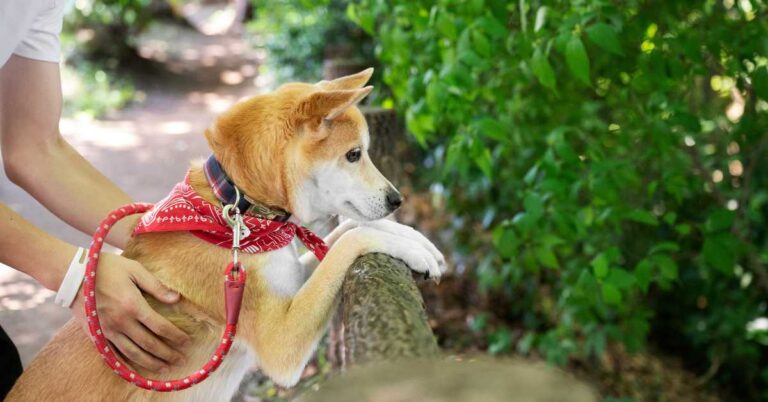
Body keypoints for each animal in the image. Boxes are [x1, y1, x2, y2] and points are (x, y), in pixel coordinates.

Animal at [7, 69, 444, 402]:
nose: (397, 199)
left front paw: (416, 240)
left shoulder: (287, 280)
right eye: (354, 155)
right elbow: (348, 241)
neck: (237, 211)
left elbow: (345, 230)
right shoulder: (281, 340)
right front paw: (411, 248)